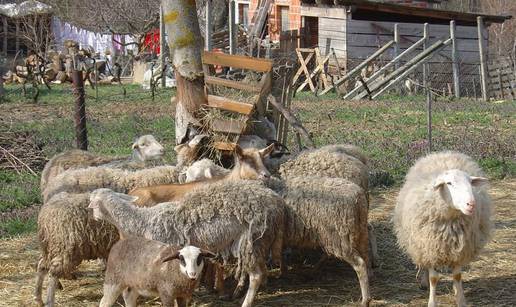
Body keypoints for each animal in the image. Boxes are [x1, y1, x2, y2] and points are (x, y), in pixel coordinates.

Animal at [86, 180, 284, 307]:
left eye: (92, 203)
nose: (93, 218)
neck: (142, 221)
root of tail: (276, 201)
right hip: (258, 243)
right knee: (262, 271)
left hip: (252, 239)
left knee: (256, 275)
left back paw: (246, 302)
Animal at [266, 177, 370, 306]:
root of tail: (358, 197)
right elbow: (281, 254)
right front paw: (283, 271)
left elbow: (279, 254)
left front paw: (282, 271)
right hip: (360, 232)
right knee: (365, 258)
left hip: (340, 237)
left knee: (359, 264)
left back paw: (365, 300)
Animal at [396, 152, 492, 307]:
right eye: (449, 183)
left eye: (470, 183)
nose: (471, 204)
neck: (450, 221)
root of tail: (443, 153)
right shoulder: (430, 246)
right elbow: (434, 278)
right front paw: (432, 302)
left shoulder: (461, 247)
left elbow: (457, 276)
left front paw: (460, 300)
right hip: (420, 245)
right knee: (424, 265)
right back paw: (424, 282)